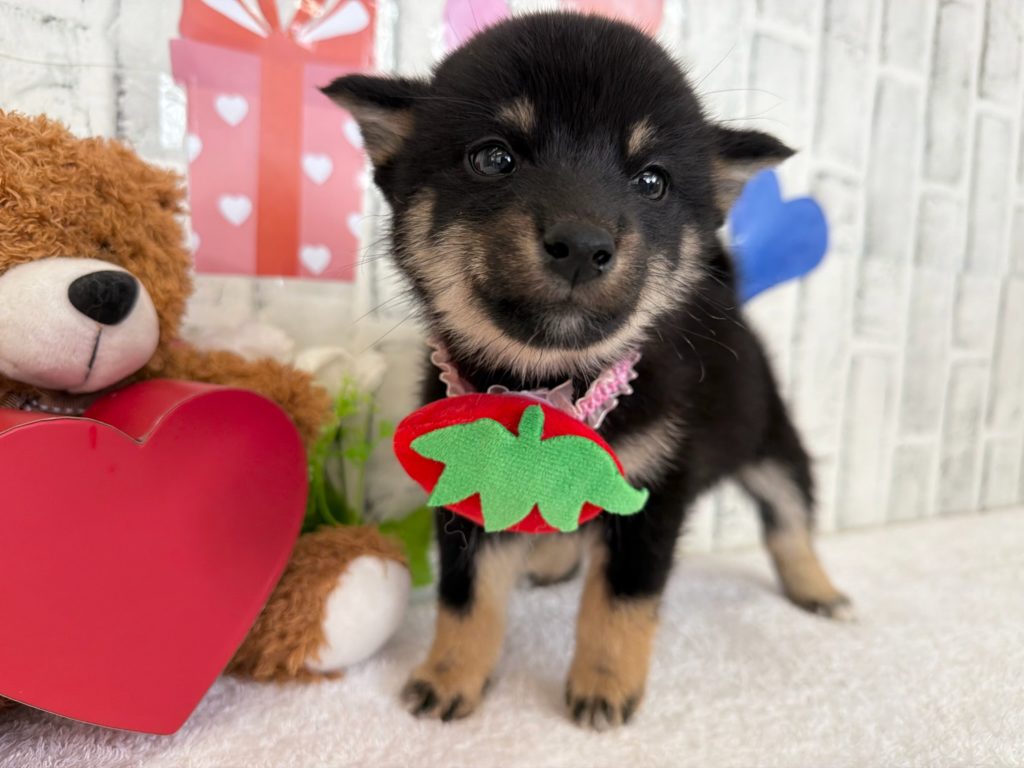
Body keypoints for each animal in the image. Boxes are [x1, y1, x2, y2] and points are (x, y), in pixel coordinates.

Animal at [324, 11, 850, 730]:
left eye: (652, 180)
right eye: (494, 157)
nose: (582, 243)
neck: (550, 385)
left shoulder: (652, 495)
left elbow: (620, 602)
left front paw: (605, 685)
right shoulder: (468, 492)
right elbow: (466, 597)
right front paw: (451, 675)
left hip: (770, 438)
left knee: (791, 516)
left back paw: (817, 588)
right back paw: (551, 559)